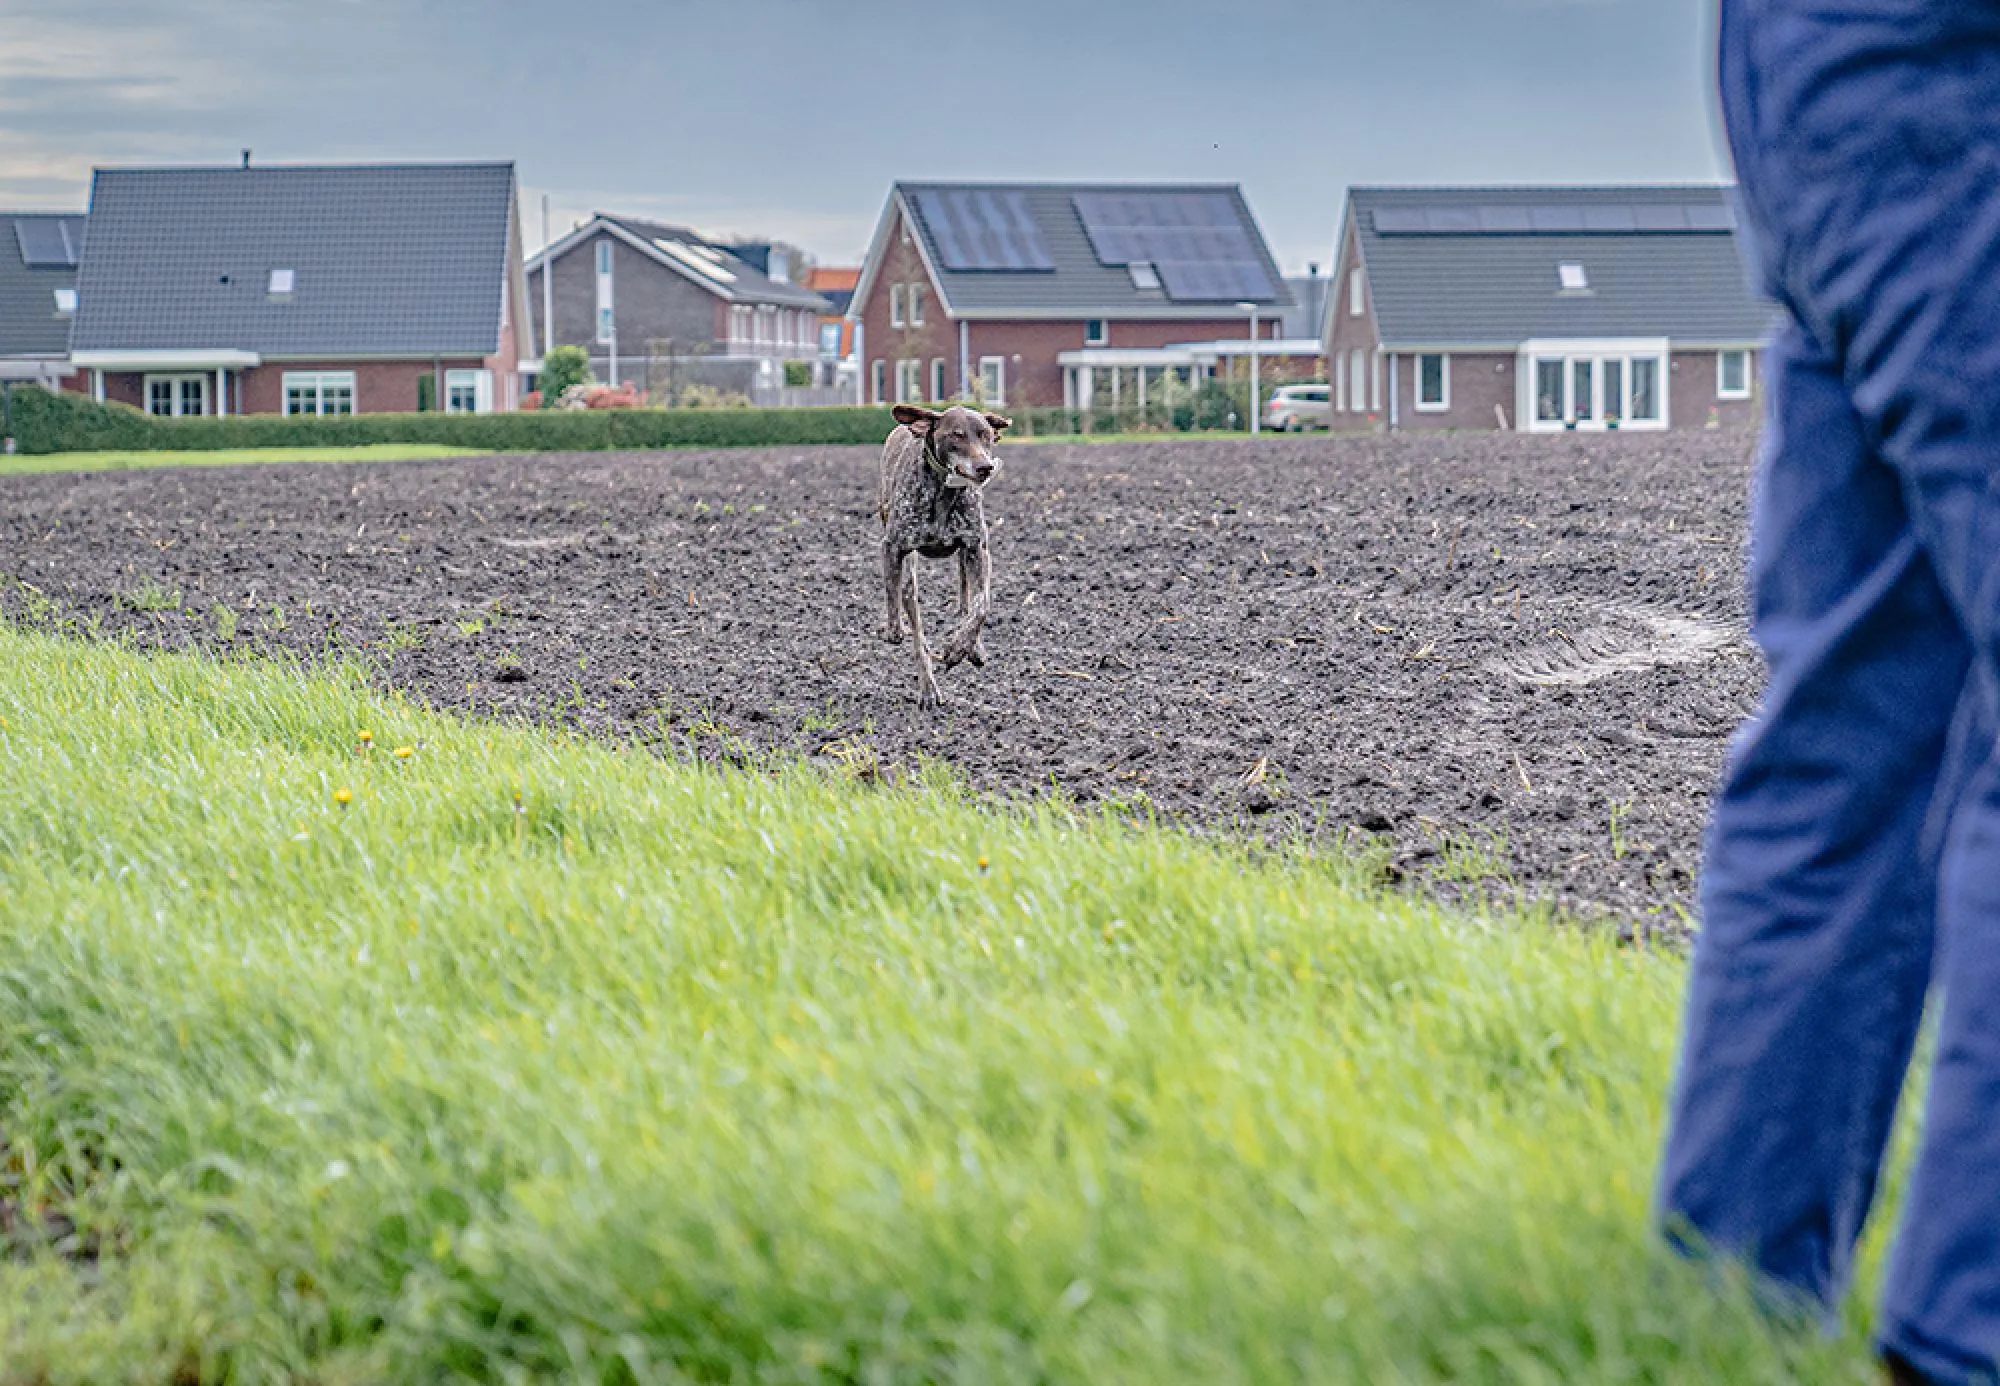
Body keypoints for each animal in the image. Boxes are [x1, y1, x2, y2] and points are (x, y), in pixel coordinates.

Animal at [876, 398, 1008, 704]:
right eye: (956, 435)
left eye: (985, 435)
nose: (985, 467)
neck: (944, 493)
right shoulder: (893, 547)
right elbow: (894, 599)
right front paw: (894, 629)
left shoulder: (977, 549)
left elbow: (982, 604)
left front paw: (960, 647)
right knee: (914, 619)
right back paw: (928, 688)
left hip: (966, 558)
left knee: (967, 600)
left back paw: (973, 646)